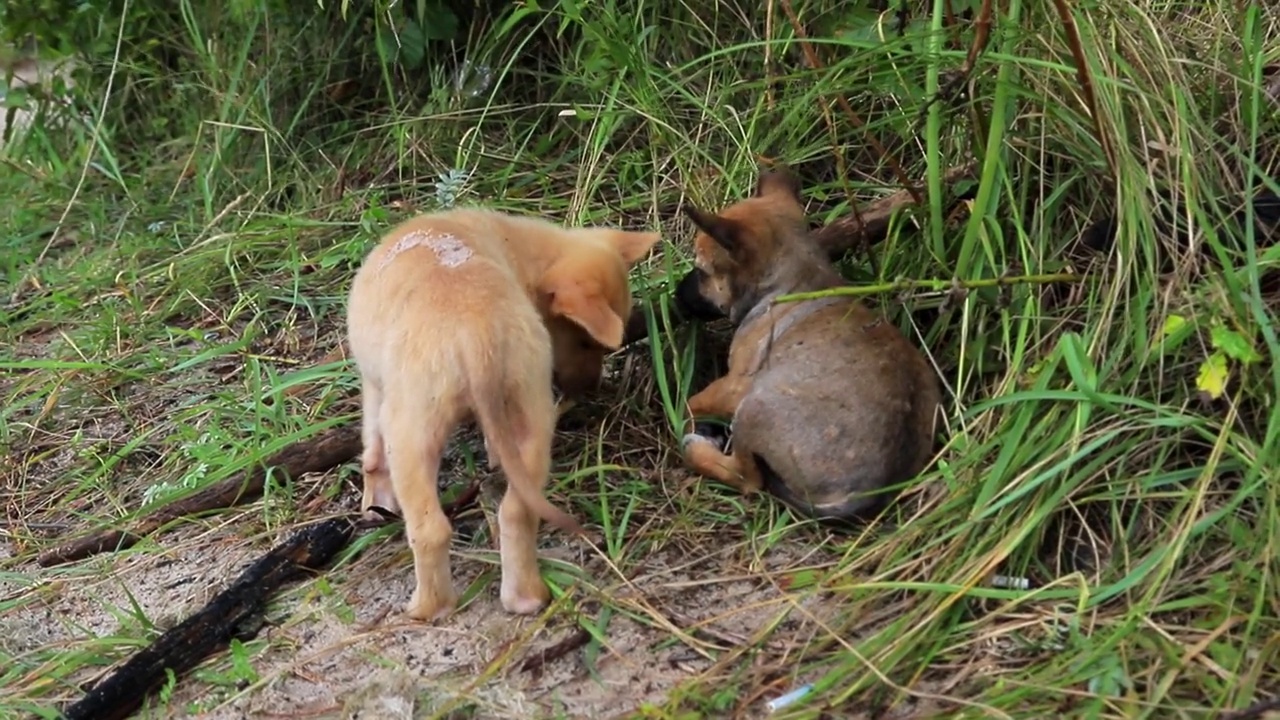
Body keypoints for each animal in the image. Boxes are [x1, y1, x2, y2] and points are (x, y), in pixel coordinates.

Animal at [348, 207, 660, 617]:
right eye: (582, 340)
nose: (590, 388)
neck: (518, 245)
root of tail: (476, 336)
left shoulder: (374, 387)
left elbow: (370, 453)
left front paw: (374, 505)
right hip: (532, 417)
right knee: (517, 511)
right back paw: (525, 598)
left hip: (411, 432)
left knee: (430, 529)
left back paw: (427, 609)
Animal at [670, 165, 942, 517]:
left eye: (701, 271)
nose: (675, 295)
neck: (794, 281)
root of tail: (863, 494)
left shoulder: (734, 386)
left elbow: (689, 404)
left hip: (752, 408)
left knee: (748, 478)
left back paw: (700, 449)